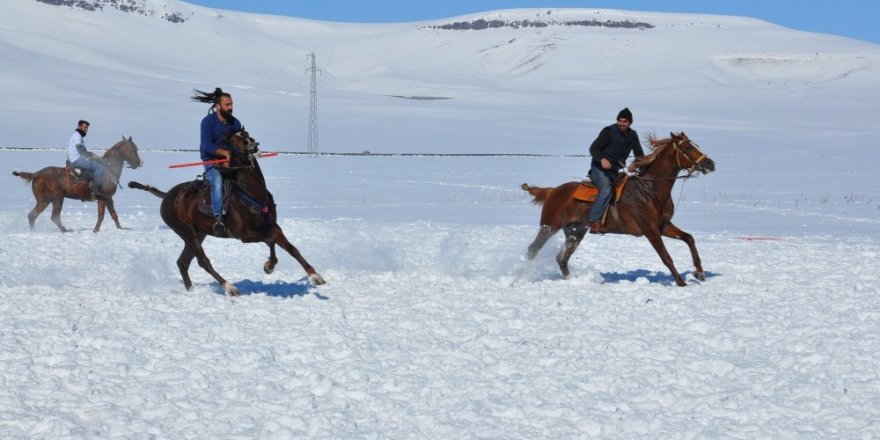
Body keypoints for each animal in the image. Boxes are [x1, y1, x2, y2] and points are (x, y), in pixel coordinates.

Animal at [12, 137, 144, 234]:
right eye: (133, 149)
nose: (140, 163)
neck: (108, 169)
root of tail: (37, 174)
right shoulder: (103, 198)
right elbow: (101, 216)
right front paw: (95, 231)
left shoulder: (108, 198)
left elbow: (114, 215)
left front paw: (121, 229)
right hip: (57, 199)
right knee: (54, 217)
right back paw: (65, 230)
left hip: (44, 200)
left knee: (32, 216)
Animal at [127, 131, 324, 296]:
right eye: (232, 141)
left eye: (247, 133)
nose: (252, 143)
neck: (252, 192)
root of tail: (167, 195)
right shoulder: (245, 235)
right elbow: (270, 240)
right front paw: (269, 265)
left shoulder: (273, 226)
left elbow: (290, 247)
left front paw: (314, 276)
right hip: (186, 232)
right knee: (203, 261)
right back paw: (230, 288)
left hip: (199, 233)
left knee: (183, 262)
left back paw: (191, 290)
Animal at [524, 132, 716, 288]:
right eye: (687, 147)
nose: (710, 164)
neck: (650, 190)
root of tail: (551, 191)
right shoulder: (650, 229)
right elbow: (666, 256)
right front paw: (680, 282)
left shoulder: (663, 226)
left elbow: (689, 238)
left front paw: (699, 272)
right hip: (549, 226)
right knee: (533, 250)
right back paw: (524, 275)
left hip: (575, 231)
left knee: (561, 258)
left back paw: (572, 281)